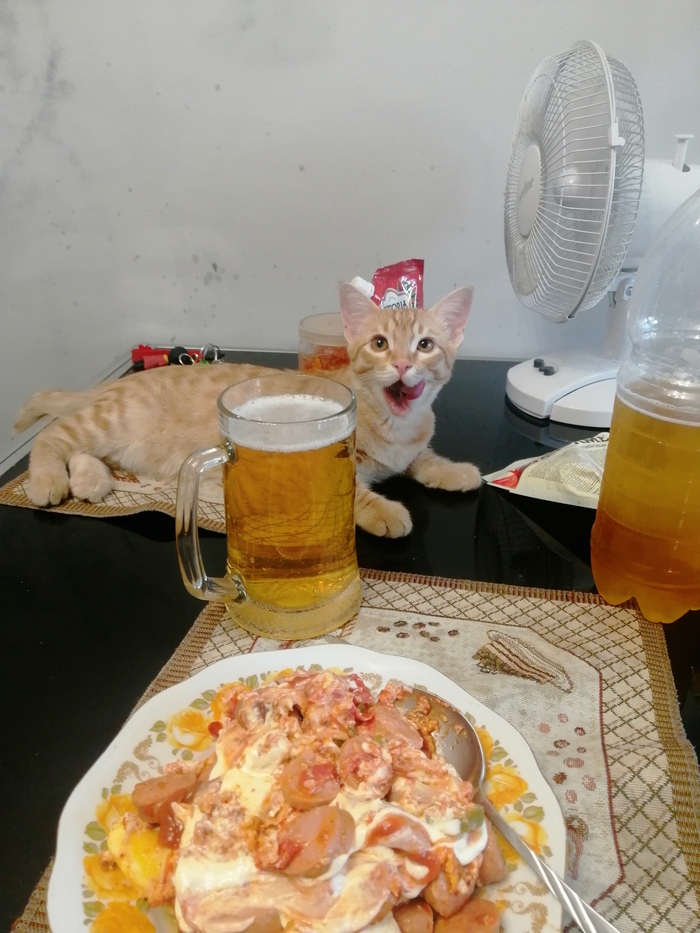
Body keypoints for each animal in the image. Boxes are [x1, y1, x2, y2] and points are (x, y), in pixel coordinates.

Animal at [13, 282, 481, 538]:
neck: (393, 425)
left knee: (81, 448)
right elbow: (353, 492)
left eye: (425, 345)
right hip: (109, 421)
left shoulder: (411, 447)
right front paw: (384, 510)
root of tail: (117, 381)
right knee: (52, 435)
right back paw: (48, 479)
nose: (401, 364)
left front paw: (454, 471)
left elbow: (423, 459)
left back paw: (90, 479)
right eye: (380, 344)